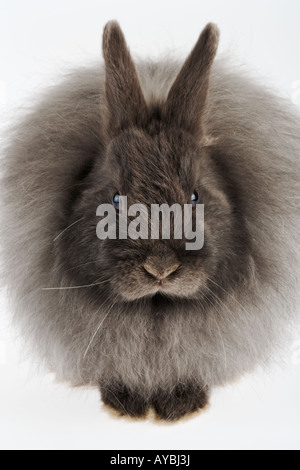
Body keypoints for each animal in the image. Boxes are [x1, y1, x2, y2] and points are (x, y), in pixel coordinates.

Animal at [1, 20, 298, 420]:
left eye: (195, 196)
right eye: (115, 198)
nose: (160, 269)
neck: (156, 311)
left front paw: (183, 406)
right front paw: (125, 405)